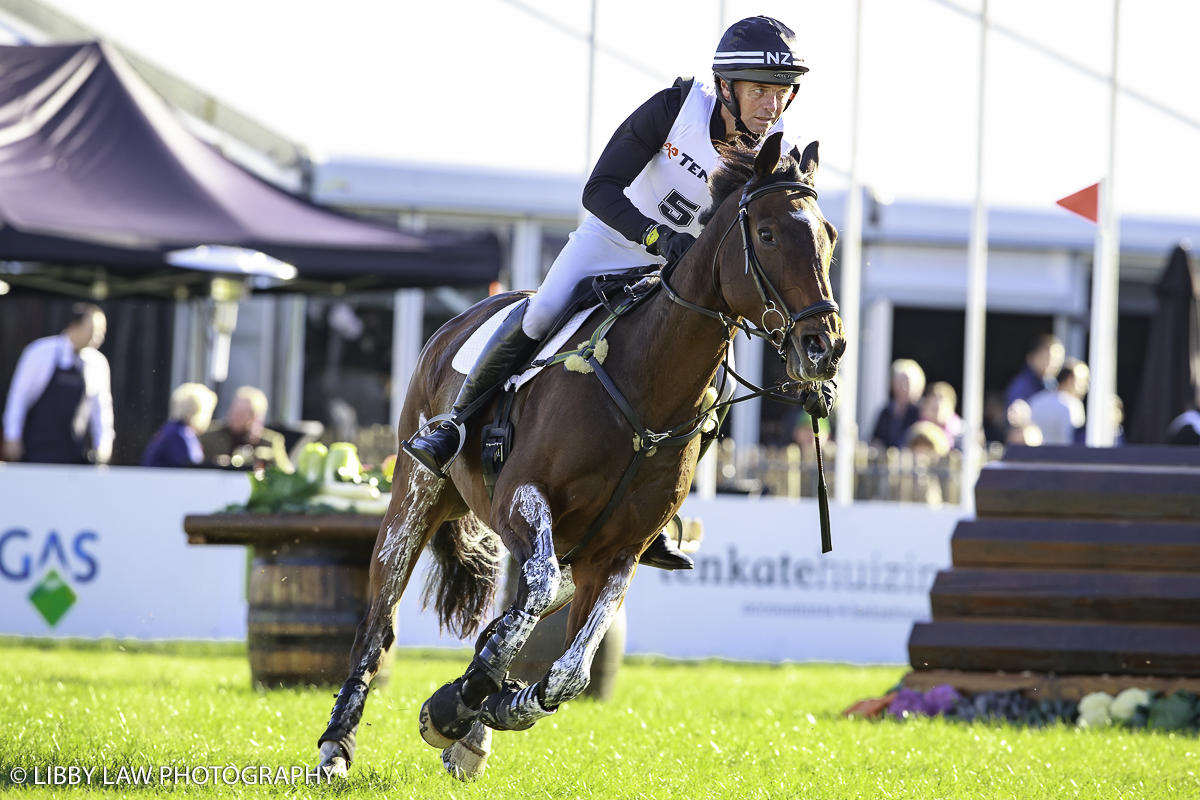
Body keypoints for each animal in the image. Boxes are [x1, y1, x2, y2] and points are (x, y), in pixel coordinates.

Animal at [316, 133, 844, 782]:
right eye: (767, 234)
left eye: (830, 237)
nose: (824, 348)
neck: (646, 386)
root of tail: (455, 324)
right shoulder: (522, 500)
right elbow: (536, 595)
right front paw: (458, 705)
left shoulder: (619, 551)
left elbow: (570, 670)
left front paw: (485, 705)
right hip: (416, 496)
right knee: (381, 620)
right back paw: (337, 747)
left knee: (532, 606)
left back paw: (471, 725)